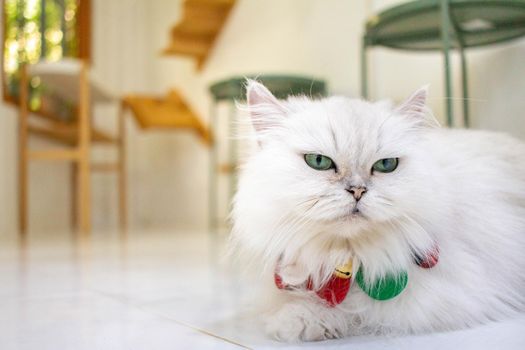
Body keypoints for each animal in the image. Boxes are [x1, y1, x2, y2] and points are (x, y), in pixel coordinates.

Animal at [230, 80, 525, 342]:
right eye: (319, 161)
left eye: (386, 165)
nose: (358, 190)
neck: (346, 255)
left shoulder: (445, 294)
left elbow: (357, 309)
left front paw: (299, 320)